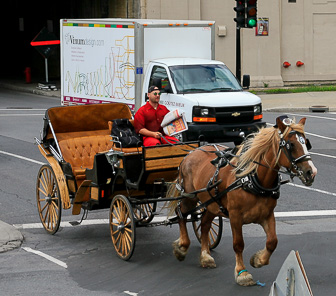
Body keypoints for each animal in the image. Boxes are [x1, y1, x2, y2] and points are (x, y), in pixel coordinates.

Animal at [169, 117, 316, 286]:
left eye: (306, 142)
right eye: (291, 145)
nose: (311, 172)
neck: (252, 179)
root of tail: (191, 152)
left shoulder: (267, 215)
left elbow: (272, 241)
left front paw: (258, 260)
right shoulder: (235, 216)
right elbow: (238, 244)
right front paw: (242, 273)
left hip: (212, 203)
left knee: (204, 224)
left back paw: (205, 256)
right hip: (190, 197)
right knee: (181, 214)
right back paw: (182, 247)